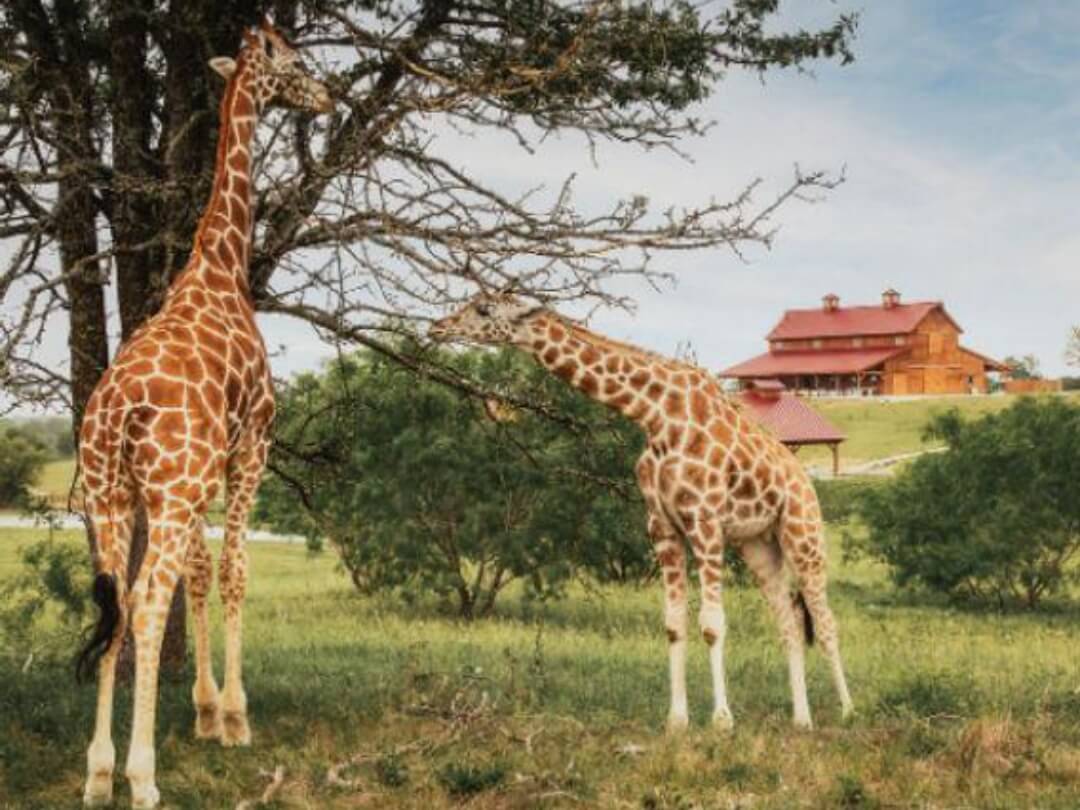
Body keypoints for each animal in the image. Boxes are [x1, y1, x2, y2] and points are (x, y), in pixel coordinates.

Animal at [75, 21, 332, 809]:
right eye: (295, 64)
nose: (327, 97)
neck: (220, 268)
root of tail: (117, 410)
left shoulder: (196, 479)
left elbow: (198, 570)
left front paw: (206, 713)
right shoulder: (252, 444)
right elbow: (235, 568)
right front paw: (236, 718)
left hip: (112, 495)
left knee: (114, 602)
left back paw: (98, 772)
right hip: (165, 488)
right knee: (145, 604)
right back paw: (142, 777)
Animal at [430, 294, 853, 731]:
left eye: (483, 310)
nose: (437, 328)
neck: (656, 415)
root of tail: (805, 480)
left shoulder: (704, 521)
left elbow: (712, 625)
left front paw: (721, 720)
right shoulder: (662, 526)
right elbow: (674, 624)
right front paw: (677, 720)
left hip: (803, 533)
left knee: (825, 621)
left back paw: (847, 710)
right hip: (758, 544)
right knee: (789, 620)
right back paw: (801, 719)